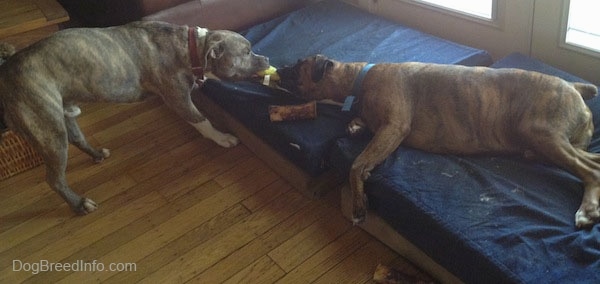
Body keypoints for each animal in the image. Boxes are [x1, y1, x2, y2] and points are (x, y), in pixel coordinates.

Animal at [0, 21, 268, 214]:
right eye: (246, 52)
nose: (266, 58)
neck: (193, 48)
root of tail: (7, 69)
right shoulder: (179, 100)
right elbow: (203, 121)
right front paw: (223, 139)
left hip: (63, 115)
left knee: (77, 138)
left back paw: (97, 154)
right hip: (49, 130)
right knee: (54, 179)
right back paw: (79, 205)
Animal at [278, 55, 600, 229]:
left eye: (298, 65)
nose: (278, 69)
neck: (359, 78)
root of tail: (574, 86)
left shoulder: (393, 128)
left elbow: (357, 164)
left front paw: (358, 205)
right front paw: (356, 124)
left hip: (542, 135)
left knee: (590, 171)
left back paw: (587, 210)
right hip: (543, 147)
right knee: (593, 161)